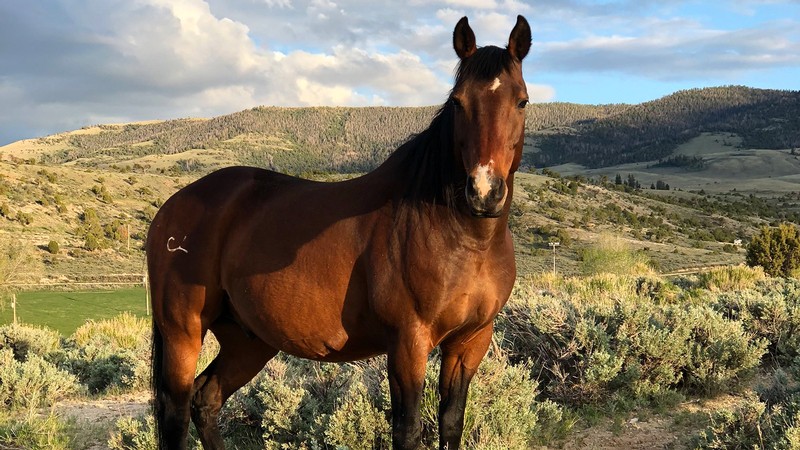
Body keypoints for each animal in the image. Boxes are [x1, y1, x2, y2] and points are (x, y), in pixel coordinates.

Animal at [146, 15, 531, 450]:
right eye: (457, 102)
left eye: (521, 101)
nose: (484, 191)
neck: (463, 240)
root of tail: (172, 209)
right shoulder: (407, 345)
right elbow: (408, 429)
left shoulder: (469, 343)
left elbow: (451, 423)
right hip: (183, 333)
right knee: (177, 412)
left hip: (247, 340)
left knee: (206, 400)